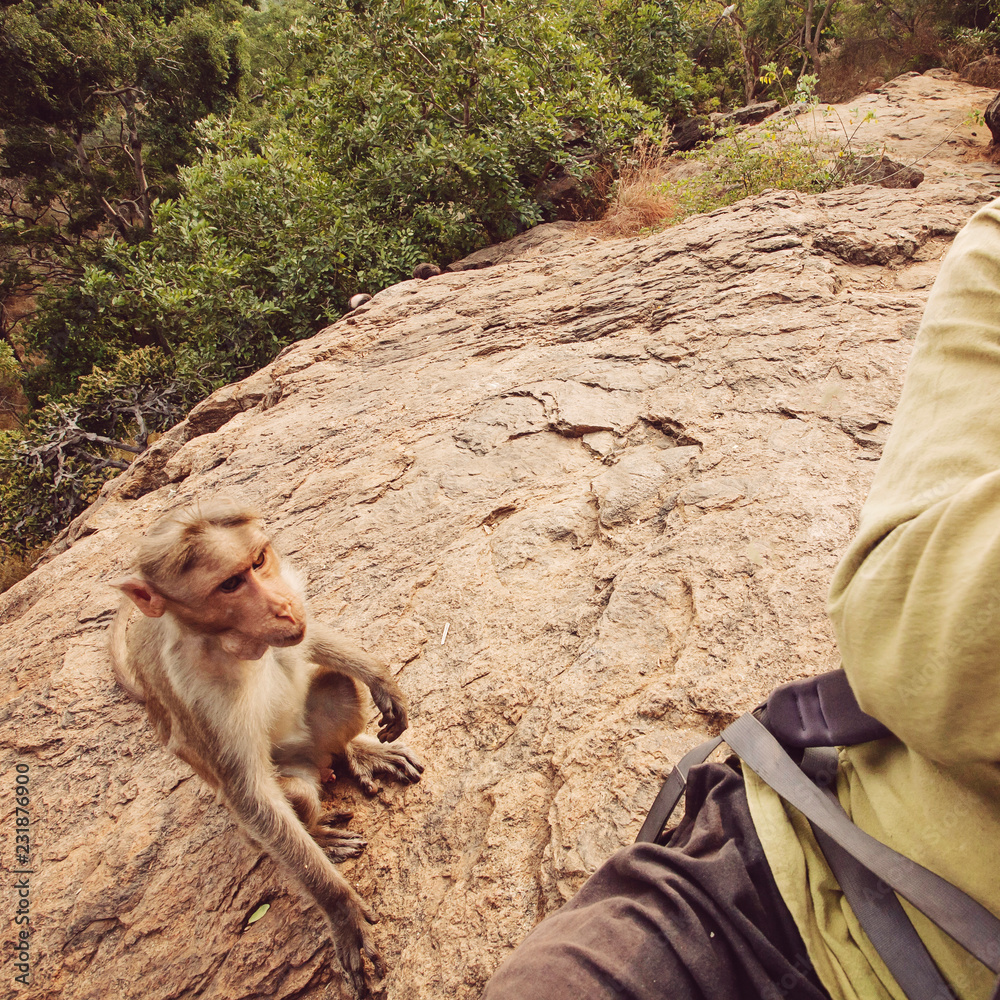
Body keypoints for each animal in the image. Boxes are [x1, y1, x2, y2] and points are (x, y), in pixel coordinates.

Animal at [108, 498, 423, 996]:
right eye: (230, 584)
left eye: (258, 561)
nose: (280, 606)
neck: (235, 644)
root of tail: (318, 762)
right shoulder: (197, 692)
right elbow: (250, 795)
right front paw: (341, 910)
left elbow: (311, 638)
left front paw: (380, 678)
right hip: (296, 774)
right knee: (293, 798)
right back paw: (320, 833)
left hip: (319, 736)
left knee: (338, 687)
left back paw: (354, 751)